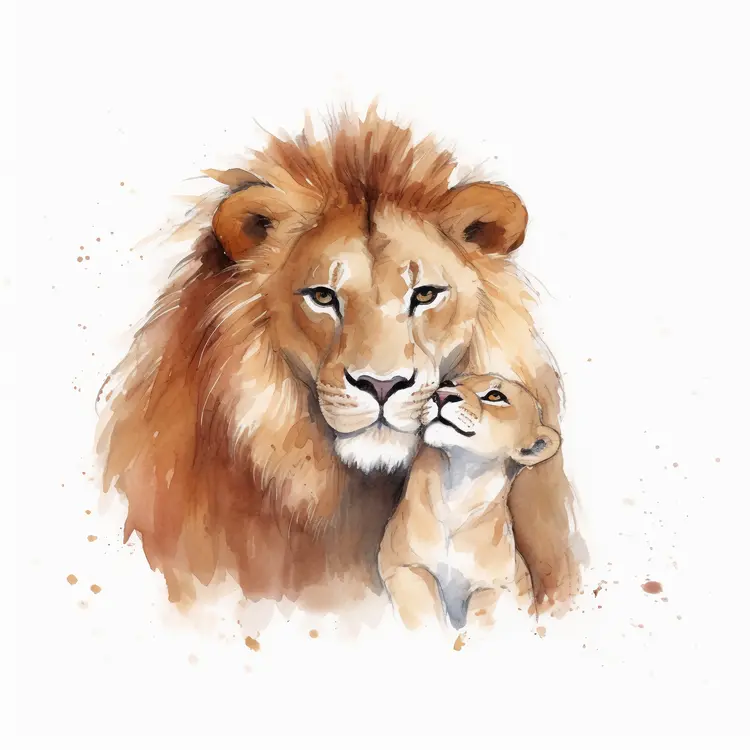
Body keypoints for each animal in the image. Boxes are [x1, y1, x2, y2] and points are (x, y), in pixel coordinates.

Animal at [378, 374, 561, 631]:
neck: (459, 488)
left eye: (495, 396)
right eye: (448, 383)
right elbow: (423, 609)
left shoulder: (495, 586)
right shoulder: (400, 565)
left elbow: (481, 620)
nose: (442, 395)